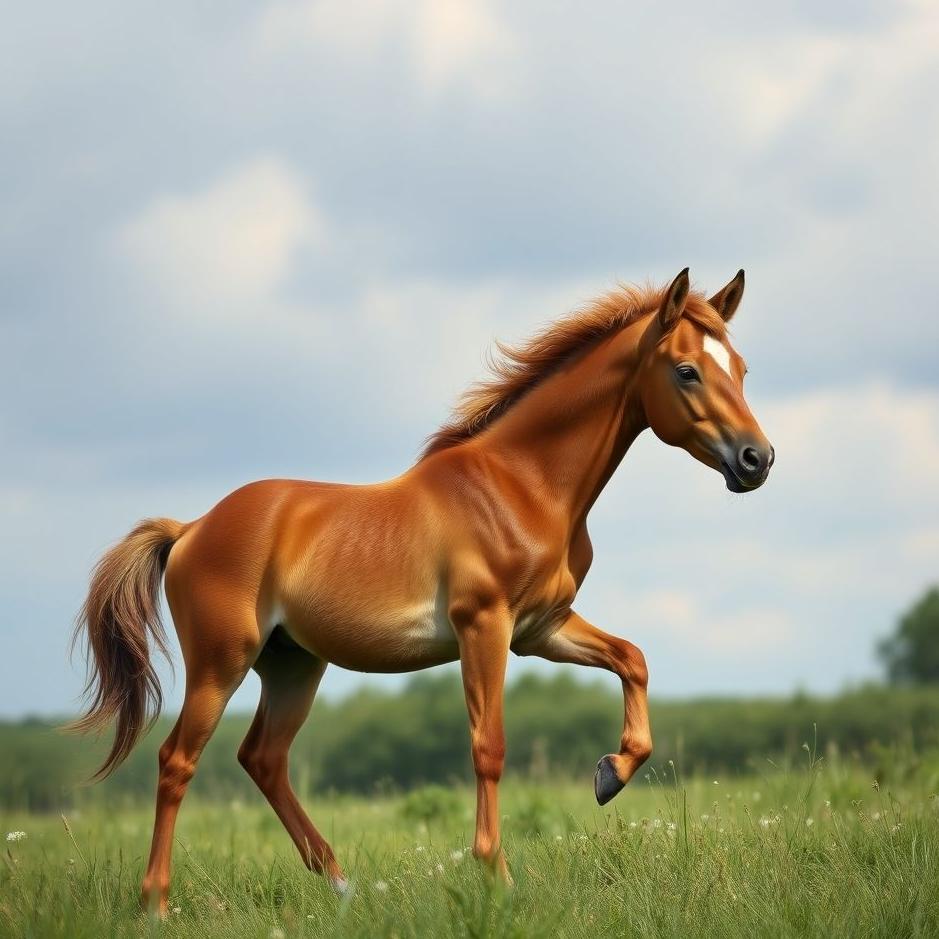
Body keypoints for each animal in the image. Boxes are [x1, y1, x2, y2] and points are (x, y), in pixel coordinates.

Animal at [70, 267, 773, 913]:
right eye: (687, 371)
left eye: (739, 367)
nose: (756, 460)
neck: (520, 485)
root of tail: (189, 529)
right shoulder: (483, 626)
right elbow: (488, 746)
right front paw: (497, 878)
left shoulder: (542, 628)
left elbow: (633, 659)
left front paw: (612, 773)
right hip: (222, 664)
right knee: (176, 762)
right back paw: (156, 904)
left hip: (293, 665)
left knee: (264, 758)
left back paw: (342, 885)